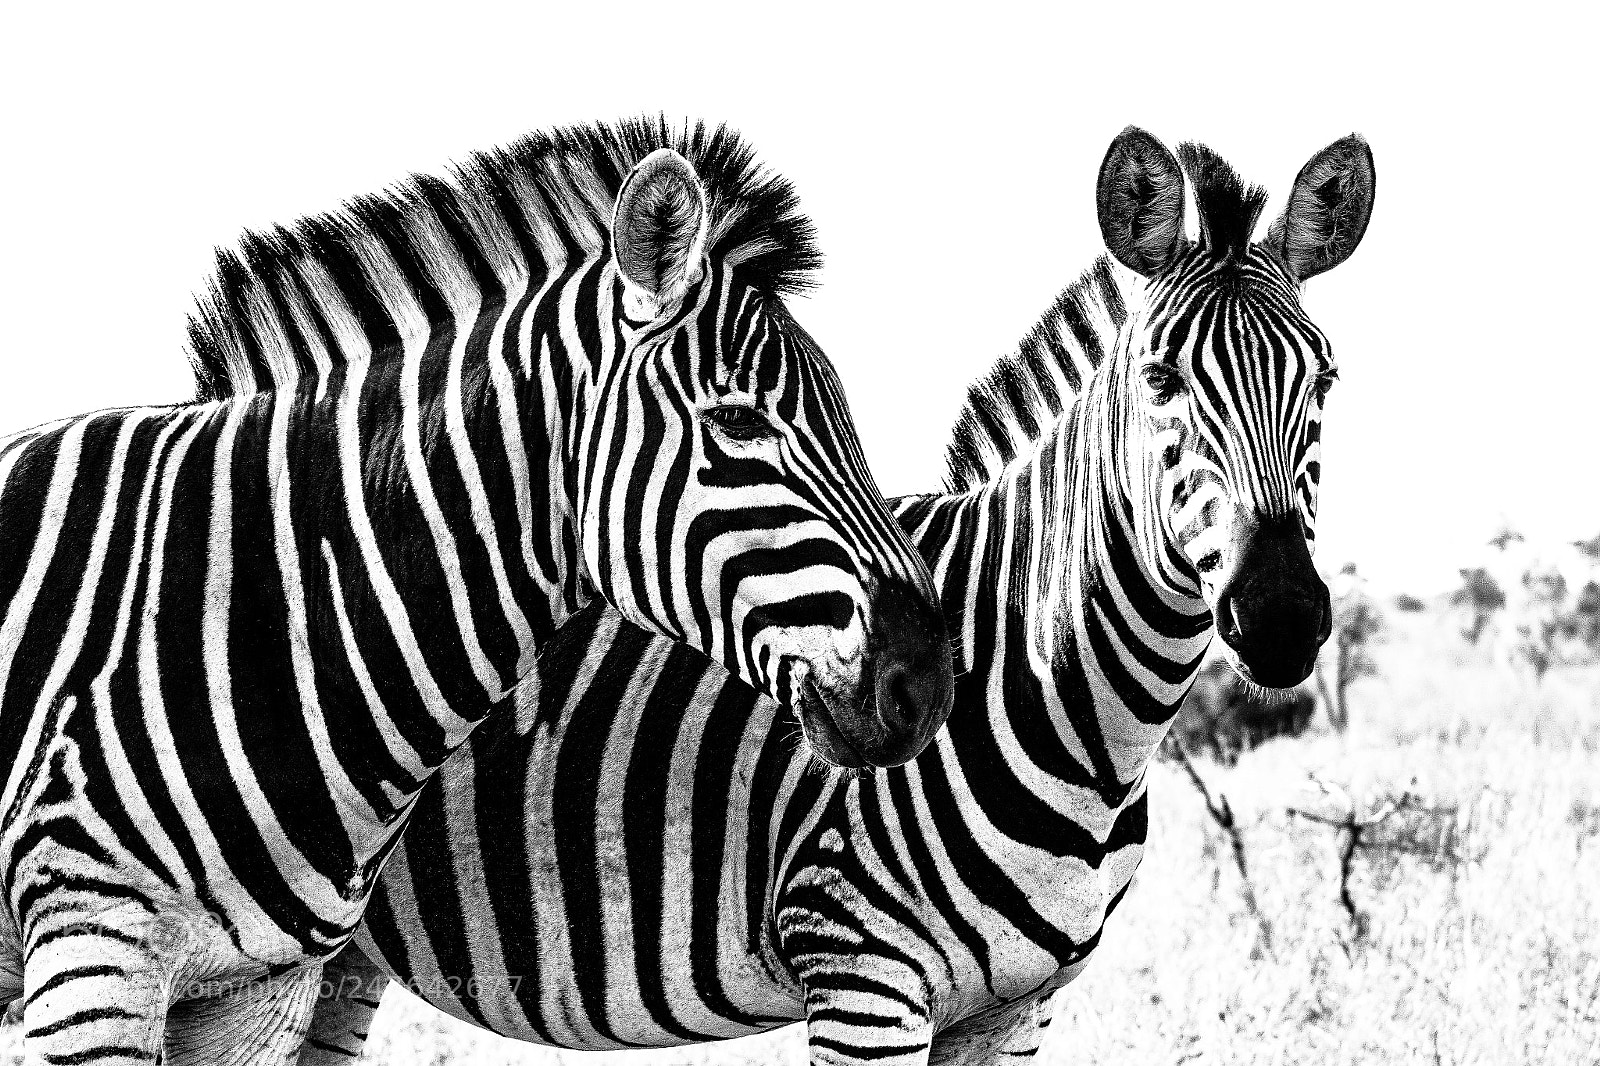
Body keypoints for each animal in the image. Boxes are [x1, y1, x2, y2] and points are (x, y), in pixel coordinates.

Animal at [299, 127, 1375, 1065]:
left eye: (1325, 379)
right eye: (1158, 381)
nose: (1281, 615)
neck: (1075, 710)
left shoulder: (1020, 1007)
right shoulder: (861, 971)